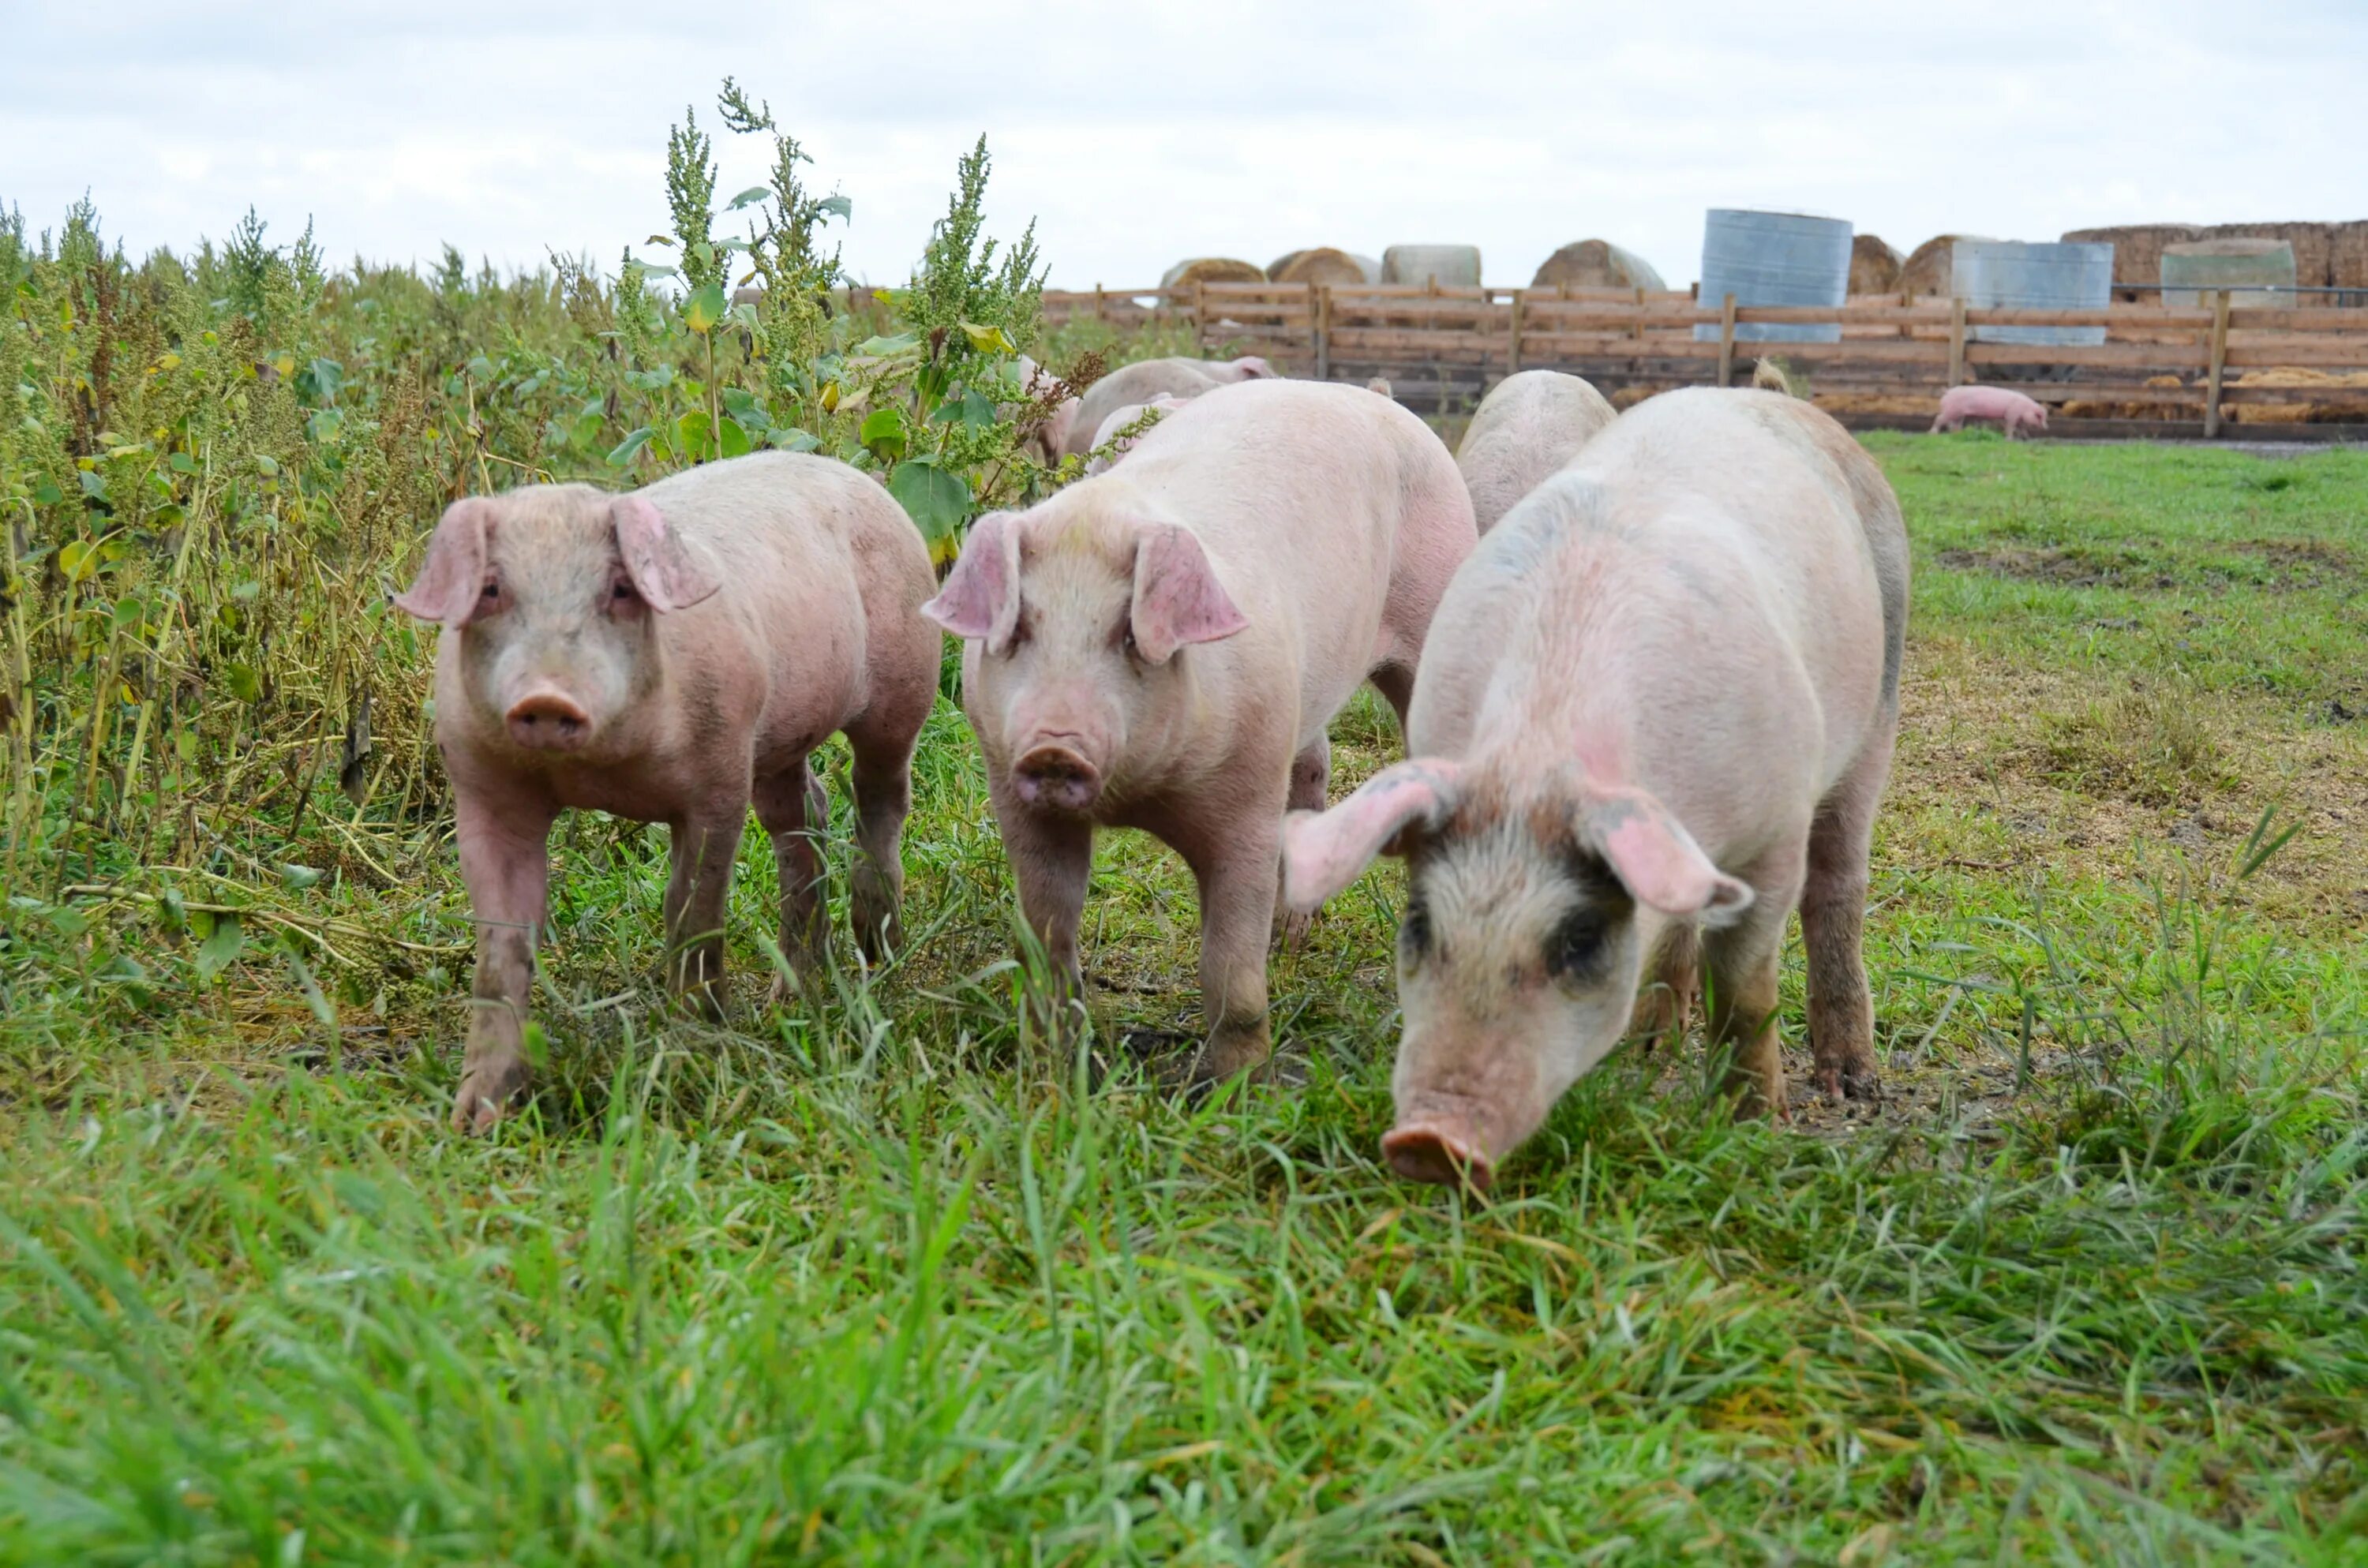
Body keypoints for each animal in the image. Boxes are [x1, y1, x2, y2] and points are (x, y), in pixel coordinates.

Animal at [393, 452, 938, 1132]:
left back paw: (879, 956)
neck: (601, 773)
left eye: (620, 589)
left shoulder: (718, 773)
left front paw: (697, 1055)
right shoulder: (483, 788)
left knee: (879, 797)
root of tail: (863, 481)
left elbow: (691, 911)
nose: (548, 697)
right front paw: (475, 1121)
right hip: (777, 737)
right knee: (803, 813)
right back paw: (790, 998)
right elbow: (502, 944)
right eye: (492, 589)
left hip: (903, 682)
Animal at [928, 379, 1468, 1089]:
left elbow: (1229, 970)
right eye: (1020, 628)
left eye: (1128, 633)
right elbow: (1048, 938)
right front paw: (1050, 1073)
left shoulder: (1248, 797)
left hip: (1436, 601)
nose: (1053, 747)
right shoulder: (1014, 792)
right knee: (1315, 762)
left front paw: (1239, 1087)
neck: (1137, 797)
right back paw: (1290, 936)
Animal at [1279, 393, 1904, 1193]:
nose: (1428, 1140)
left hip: (1879, 700)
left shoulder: (1775, 824)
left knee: (1838, 885)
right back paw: (1648, 1051)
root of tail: (1776, 397)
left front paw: (1754, 1125)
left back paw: (1852, 1084)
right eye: (1418, 925)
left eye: (1578, 938)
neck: (1539, 757)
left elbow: (1744, 981)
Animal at [1932, 388, 2046, 438]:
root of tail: (1947, 392)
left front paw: (2026, 437)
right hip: (1951, 411)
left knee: (1956, 425)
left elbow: (2022, 427)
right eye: (2039, 416)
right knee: (1939, 418)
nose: (2046, 427)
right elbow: (2010, 427)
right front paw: (2009, 439)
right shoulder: (2011, 414)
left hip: (1959, 414)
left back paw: (1958, 434)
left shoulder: (2018, 418)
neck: (2025, 408)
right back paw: (1933, 434)